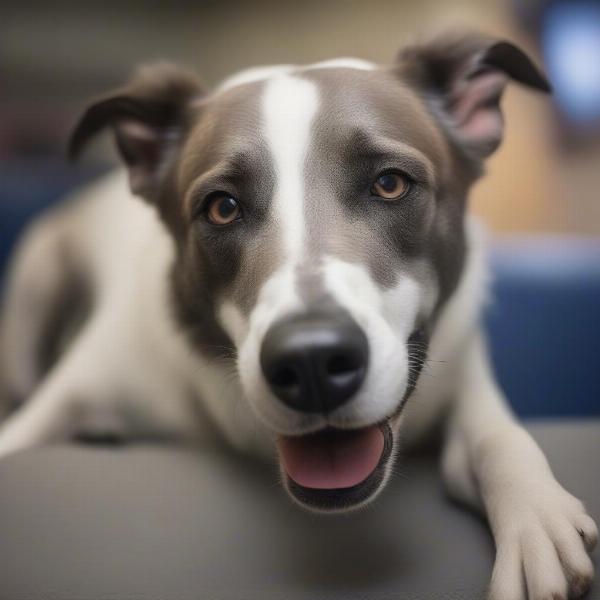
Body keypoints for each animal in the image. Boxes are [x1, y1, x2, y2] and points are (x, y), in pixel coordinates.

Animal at [0, 31, 596, 600]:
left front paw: (536, 513)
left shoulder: (467, 374)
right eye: (222, 207)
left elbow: (500, 437)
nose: (312, 363)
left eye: (390, 183)